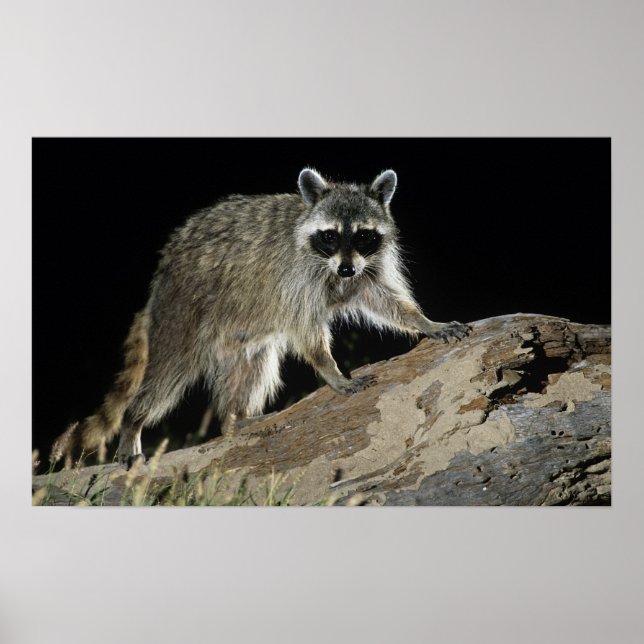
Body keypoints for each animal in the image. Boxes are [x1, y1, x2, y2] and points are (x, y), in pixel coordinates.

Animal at [51, 168, 469, 468]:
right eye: (330, 236)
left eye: (364, 235)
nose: (347, 269)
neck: (333, 265)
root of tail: (161, 278)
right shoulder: (294, 277)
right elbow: (306, 330)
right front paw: (331, 370)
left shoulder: (368, 266)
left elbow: (384, 299)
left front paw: (425, 322)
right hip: (182, 312)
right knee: (168, 372)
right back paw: (134, 422)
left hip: (238, 336)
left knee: (252, 369)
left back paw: (236, 418)